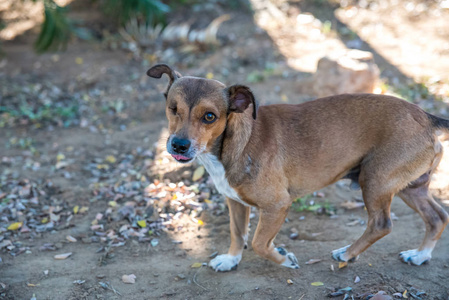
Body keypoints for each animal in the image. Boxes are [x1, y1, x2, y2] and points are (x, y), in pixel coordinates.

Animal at [147, 63, 448, 272]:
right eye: (172, 108)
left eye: (210, 116)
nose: (179, 145)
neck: (235, 145)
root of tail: (426, 117)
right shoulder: (236, 203)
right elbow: (237, 233)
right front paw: (231, 260)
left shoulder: (277, 205)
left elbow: (258, 243)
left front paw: (283, 259)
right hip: (410, 187)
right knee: (438, 217)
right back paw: (420, 255)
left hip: (374, 183)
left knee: (382, 224)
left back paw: (348, 253)